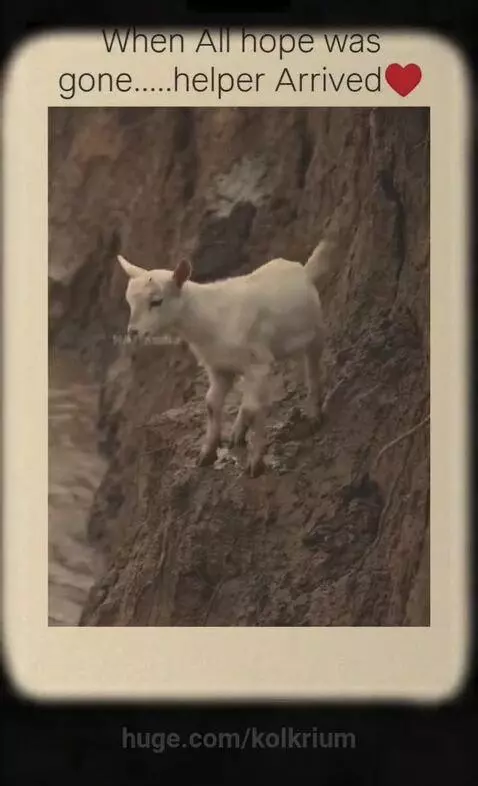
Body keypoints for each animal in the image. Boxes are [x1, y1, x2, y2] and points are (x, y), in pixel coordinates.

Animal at [117, 239, 333, 476]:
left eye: (157, 301)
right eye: (130, 302)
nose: (133, 332)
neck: (208, 317)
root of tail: (303, 269)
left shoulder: (259, 364)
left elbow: (252, 409)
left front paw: (255, 463)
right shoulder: (219, 368)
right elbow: (212, 403)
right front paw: (207, 453)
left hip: (315, 333)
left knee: (311, 370)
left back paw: (314, 414)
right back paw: (238, 432)